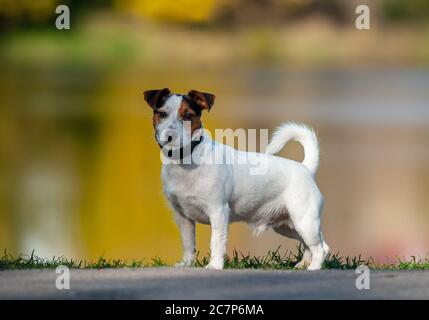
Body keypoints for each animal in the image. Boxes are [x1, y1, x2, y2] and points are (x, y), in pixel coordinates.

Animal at [144, 88, 328, 270]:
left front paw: (214, 265)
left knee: (320, 248)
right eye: (162, 114)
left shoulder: (218, 211)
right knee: (311, 245)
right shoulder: (183, 217)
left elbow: (216, 242)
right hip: (288, 225)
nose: (170, 136)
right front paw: (186, 264)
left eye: (188, 115)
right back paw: (304, 264)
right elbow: (188, 243)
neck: (186, 160)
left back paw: (313, 267)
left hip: (305, 220)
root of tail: (305, 168)